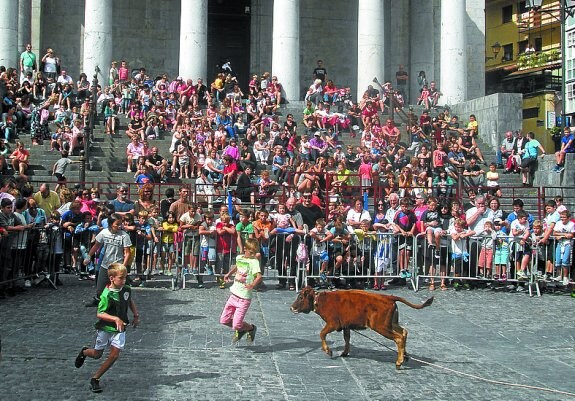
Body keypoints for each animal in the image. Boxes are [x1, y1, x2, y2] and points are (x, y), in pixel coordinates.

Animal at [290, 284, 434, 368]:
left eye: (301, 297)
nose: (292, 307)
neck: (320, 300)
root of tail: (389, 298)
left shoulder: (333, 324)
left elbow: (322, 333)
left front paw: (328, 351)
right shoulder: (346, 326)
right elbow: (347, 338)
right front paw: (344, 352)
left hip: (382, 327)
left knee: (399, 338)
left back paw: (399, 362)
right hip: (391, 324)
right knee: (404, 332)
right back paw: (405, 356)